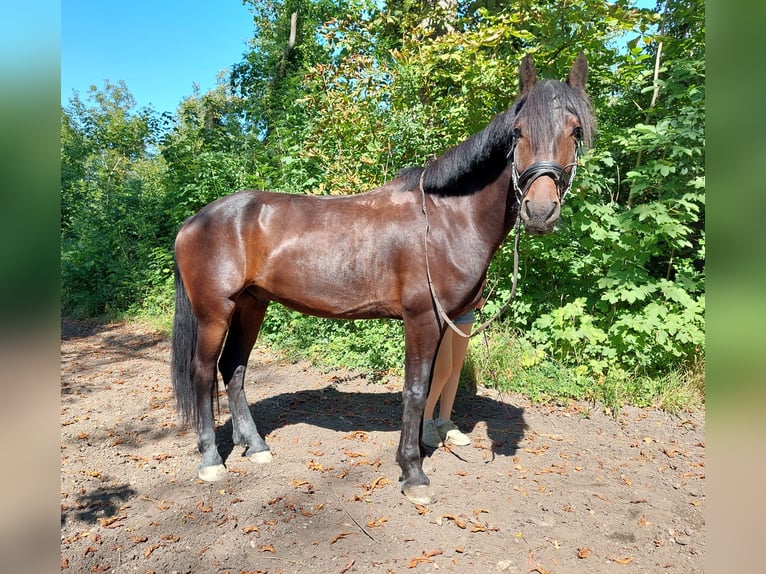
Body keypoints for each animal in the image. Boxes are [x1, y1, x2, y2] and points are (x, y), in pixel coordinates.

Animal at [171, 53, 595, 505]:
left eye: (575, 130)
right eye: (517, 132)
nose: (540, 211)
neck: (445, 219)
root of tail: (194, 222)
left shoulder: (443, 322)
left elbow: (432, 383)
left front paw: (424, 448)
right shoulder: (422, 319)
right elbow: (415, 389)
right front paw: (413, 472)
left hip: (252, 305)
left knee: (233, 368)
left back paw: (255, 447)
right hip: (215, 312)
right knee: (203, 372)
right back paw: (211, 460)